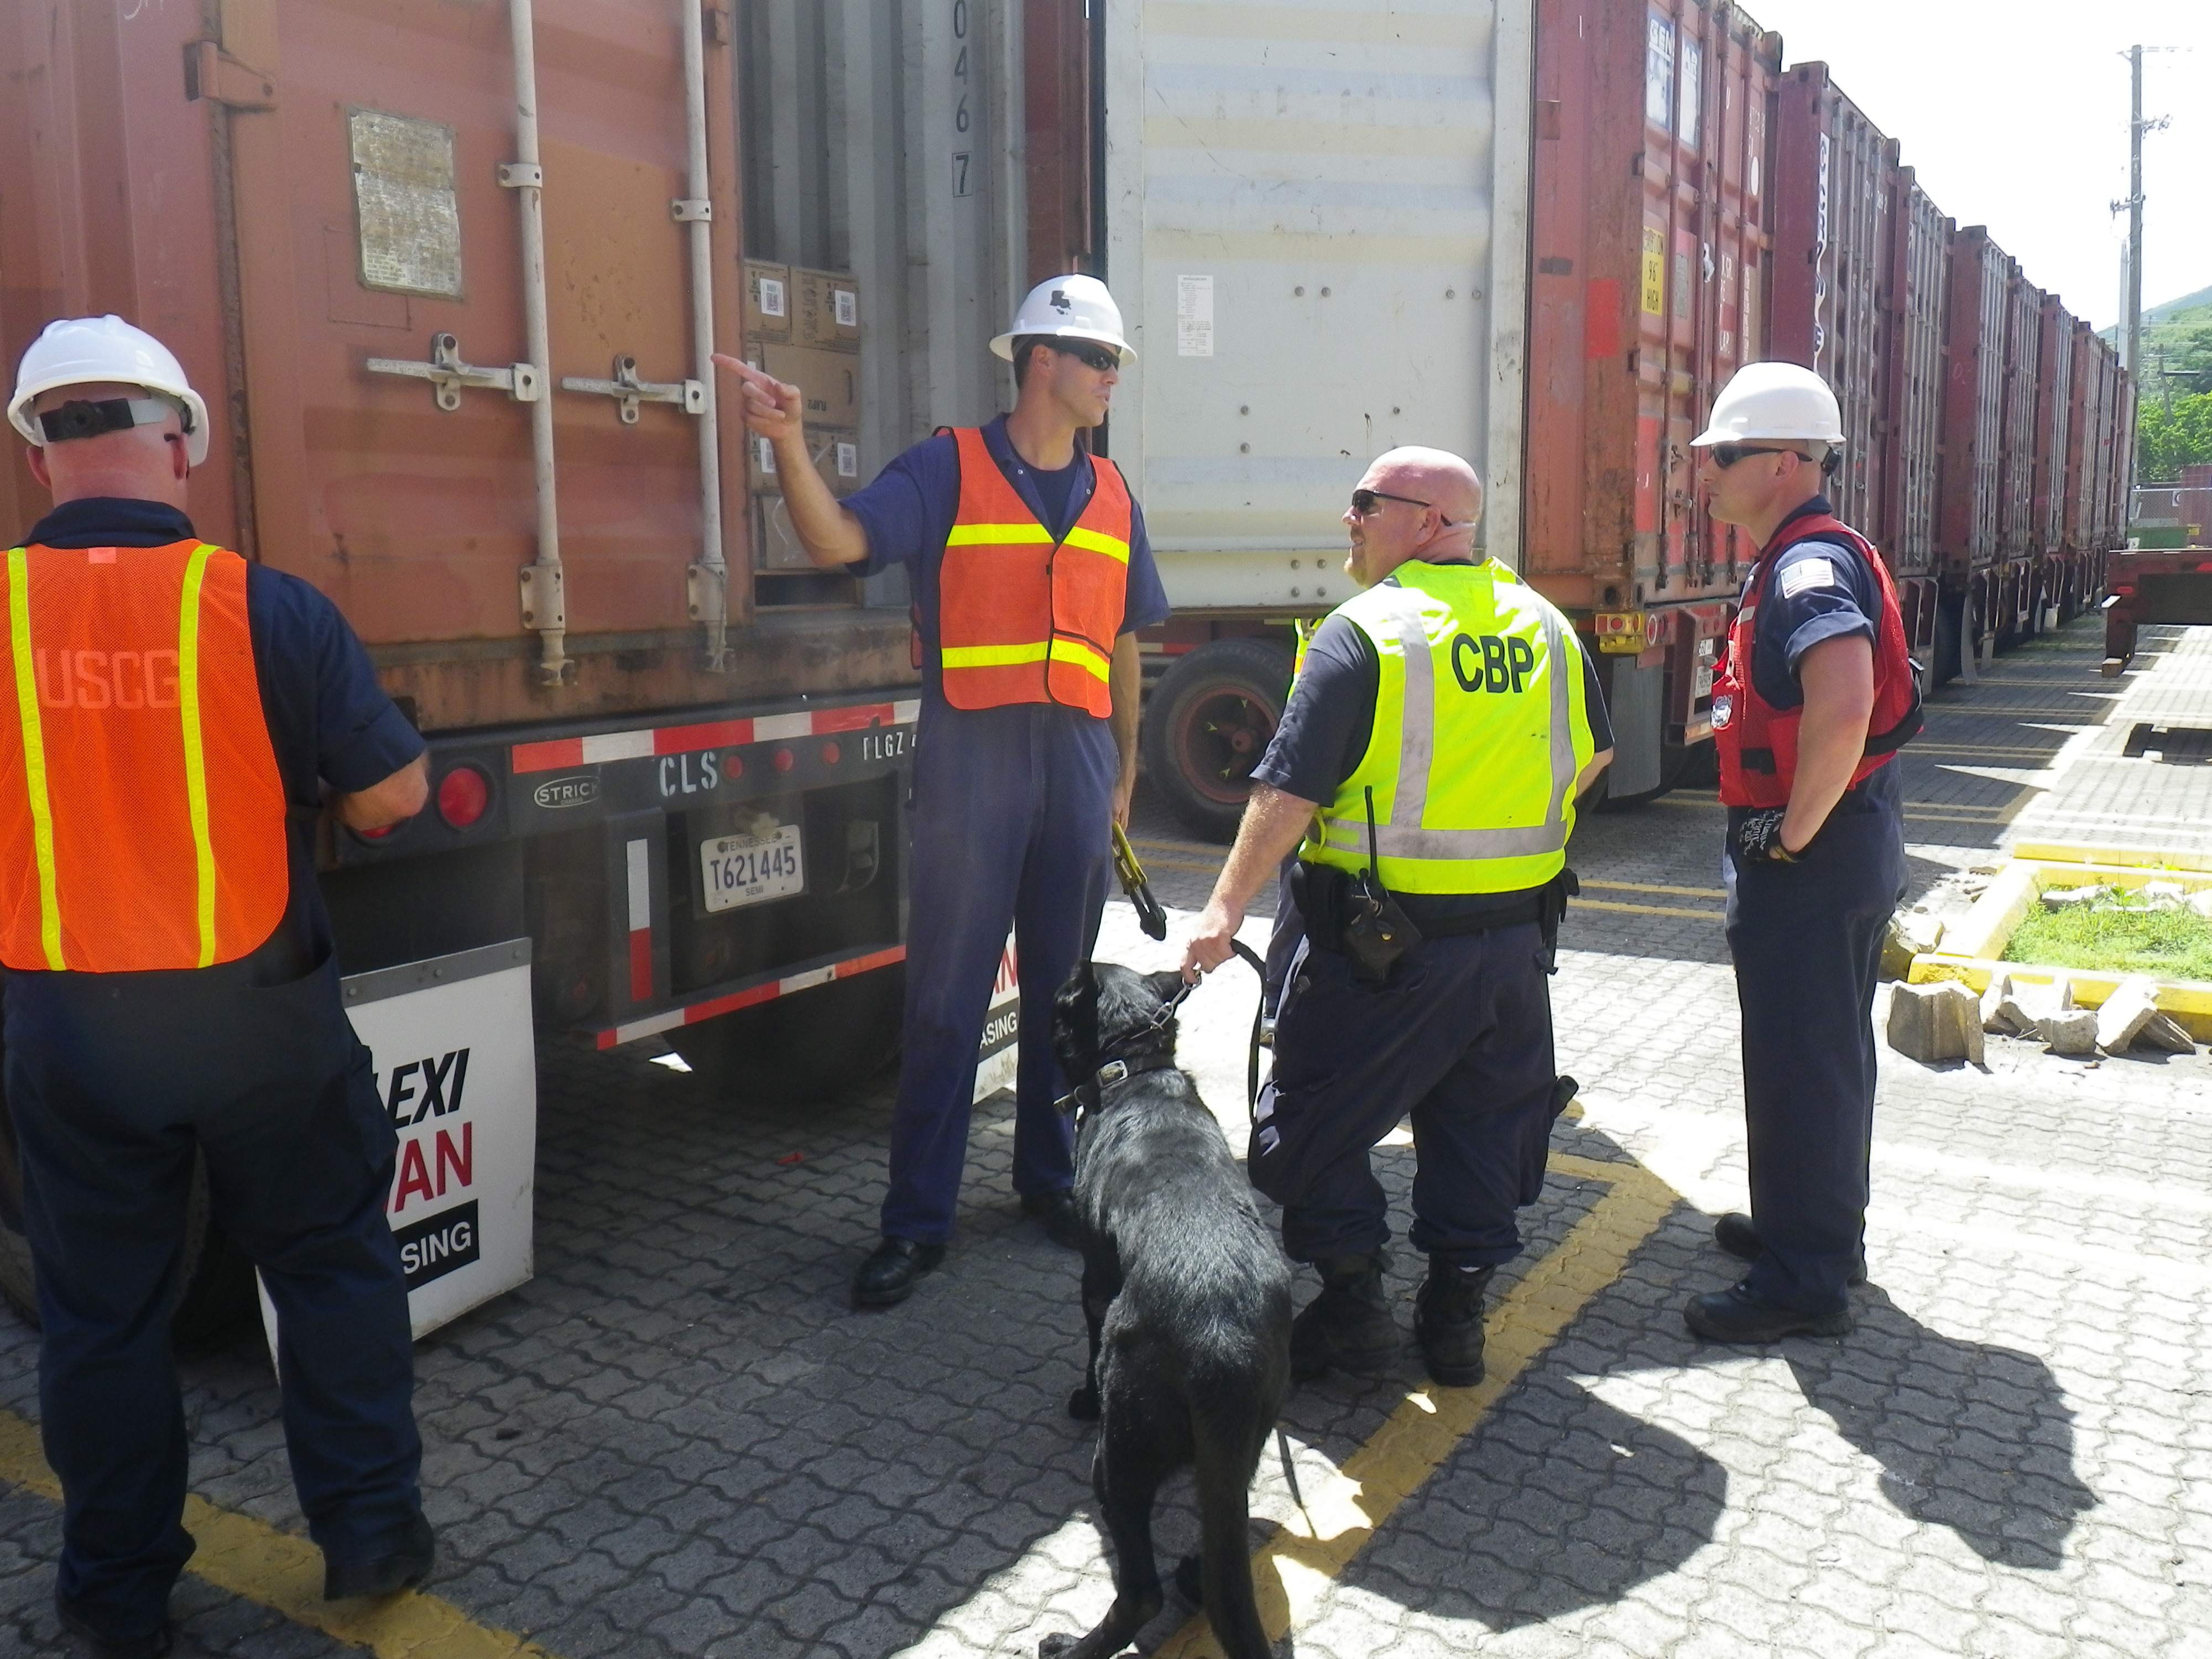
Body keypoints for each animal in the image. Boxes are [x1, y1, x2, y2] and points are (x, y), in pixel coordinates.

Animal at [1040, 960, 1292, 1659]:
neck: (1134, 1073)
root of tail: (1222, 1344)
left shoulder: (1095, 1279)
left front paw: (1082, 1397)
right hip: (1241, 1448)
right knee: (1221, 1549)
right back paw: (1194, 1581)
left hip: (1120, 1456)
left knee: (1140, 1593)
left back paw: (1072, 1646)